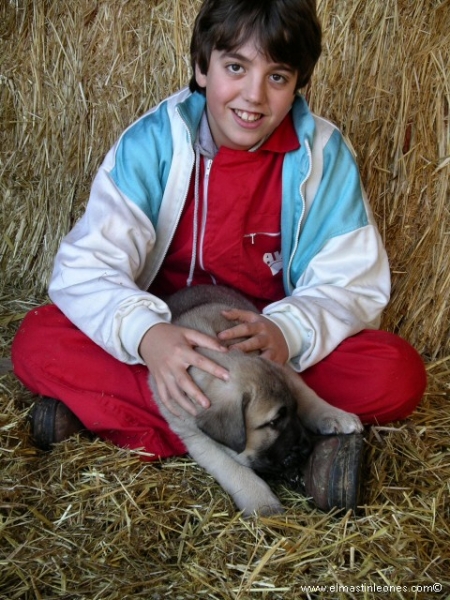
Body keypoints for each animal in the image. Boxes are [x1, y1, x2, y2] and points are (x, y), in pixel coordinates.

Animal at [149, 286, 364, 516]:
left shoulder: (282, 367)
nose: (306, 448)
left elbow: (306, 394)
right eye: (273, 423)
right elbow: (231, 467)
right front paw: (262, 503)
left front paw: (335, 416)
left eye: (294, 410)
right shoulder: (194, 437)